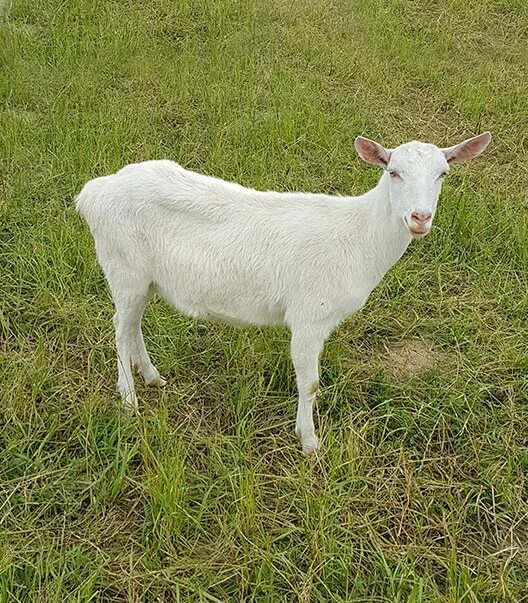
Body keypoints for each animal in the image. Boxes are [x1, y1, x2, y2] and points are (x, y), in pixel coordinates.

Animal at [77, 133, 490, 452]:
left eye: (443, 173)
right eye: (393, 171)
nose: (420, 218)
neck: (359, 239)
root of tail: (93, 193)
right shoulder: (309, 315)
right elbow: (310, 382)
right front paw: (309, 442)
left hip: (143, 278)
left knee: (133, 324)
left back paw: (152, 377)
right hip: (123, 265)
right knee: (119, 328)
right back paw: (129, 399)